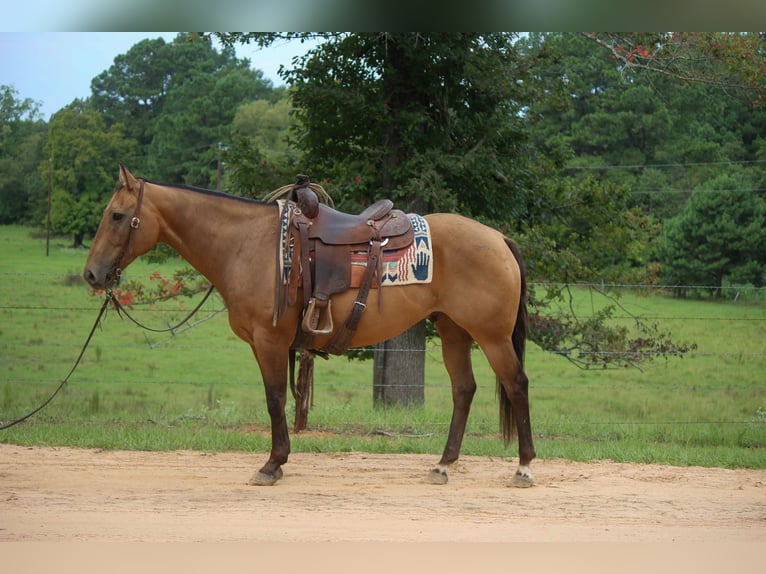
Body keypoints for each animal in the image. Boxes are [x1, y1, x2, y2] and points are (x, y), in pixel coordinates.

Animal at [84, 164, 536, 488]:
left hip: (491, 336)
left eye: (118, 215)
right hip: (453, 330)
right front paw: (278, 461)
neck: (248, 245)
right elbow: (278, 400)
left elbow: (274, 399)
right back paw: (443, 465)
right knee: (464, 390)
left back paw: (524, 467)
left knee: (516, 385)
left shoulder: (269, 340)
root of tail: (498, 238)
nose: (92, 274)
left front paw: (272, 464)